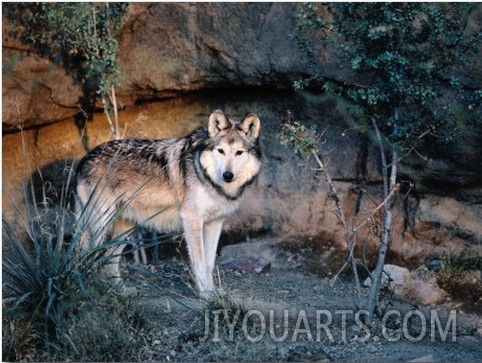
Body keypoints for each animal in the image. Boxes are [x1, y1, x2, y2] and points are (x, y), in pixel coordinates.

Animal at [75, 109, 262, 294]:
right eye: (221, 151)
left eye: (239, 152)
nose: (227, 175)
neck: (205, 175)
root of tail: (84, 159)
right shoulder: (192, 220)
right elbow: (200, 263)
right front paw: (205, 294)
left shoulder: (215, 223)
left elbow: (209, 263)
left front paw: (213, 292)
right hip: (102, 224)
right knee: (92, 256)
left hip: (125, 228)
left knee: (109, 259)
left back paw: (120, 291)